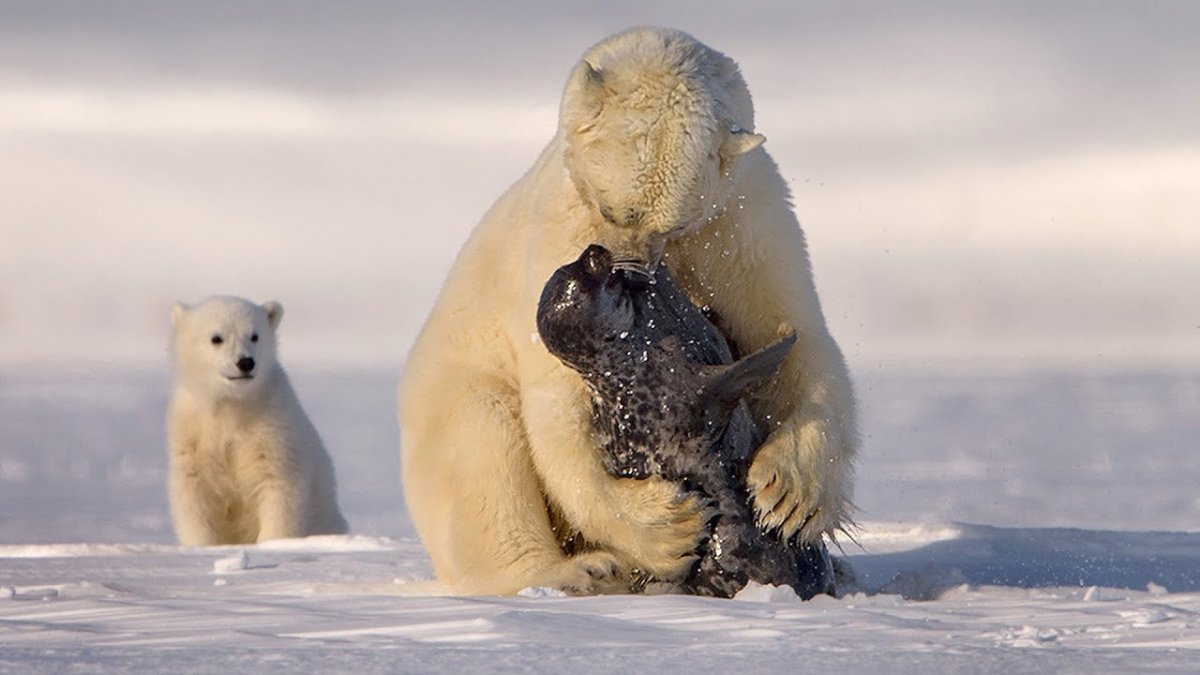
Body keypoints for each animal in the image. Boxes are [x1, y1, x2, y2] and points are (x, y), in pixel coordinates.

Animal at [167, 295, 349, 545]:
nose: (246, 362)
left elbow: (279, 487)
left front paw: (273, 544)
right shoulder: (191, 431)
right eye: (216, 338)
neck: (232, 404)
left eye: (254, 335)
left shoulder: (272, 426)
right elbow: (194, 494)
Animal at [400, 26, 857, 595]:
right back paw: (582, 569)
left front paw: (789, 495)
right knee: (482, 454)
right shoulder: (560, 231)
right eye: (611, 210)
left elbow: (797, 336)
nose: (628, 270)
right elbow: (559, 411)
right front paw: (667, 527)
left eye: (674, 223)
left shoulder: (744, 220)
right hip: (449, 391)